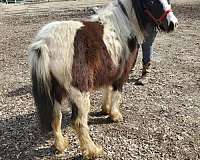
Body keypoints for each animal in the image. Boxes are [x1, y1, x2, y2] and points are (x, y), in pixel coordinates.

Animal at [28, 0, 177, 158]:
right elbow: (117, 94)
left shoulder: (110, 71)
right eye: (151, 2)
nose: (172, 24)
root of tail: (44, 43)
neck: (125, 23)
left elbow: (107, 90)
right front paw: (115, 115)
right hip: (80, 92)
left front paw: (105, 109)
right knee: (78, 122)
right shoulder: (121, 75)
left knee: (56, 117)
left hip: (55, 91)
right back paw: (92, 150)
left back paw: (60, 146)